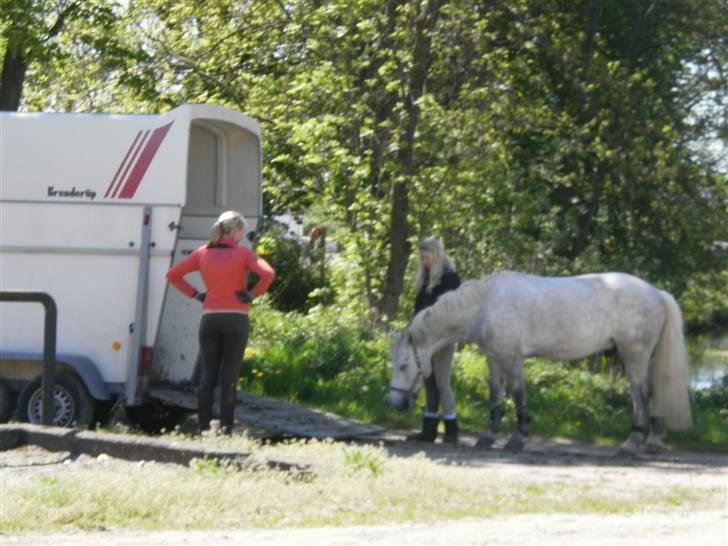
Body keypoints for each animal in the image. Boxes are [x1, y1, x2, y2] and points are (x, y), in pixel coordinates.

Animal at [390, 270, 692, 452]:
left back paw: (634, 442)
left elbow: (518, 396)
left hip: (635, 356)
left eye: (404, 365)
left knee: (642, 396)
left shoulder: (512, 359)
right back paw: (651, 440)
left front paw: (518, 438)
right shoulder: (494, 359)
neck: (485, 305)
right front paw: (487, 437)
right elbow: (496, 397)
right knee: (647, 394)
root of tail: (657, 293)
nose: (395, 403)